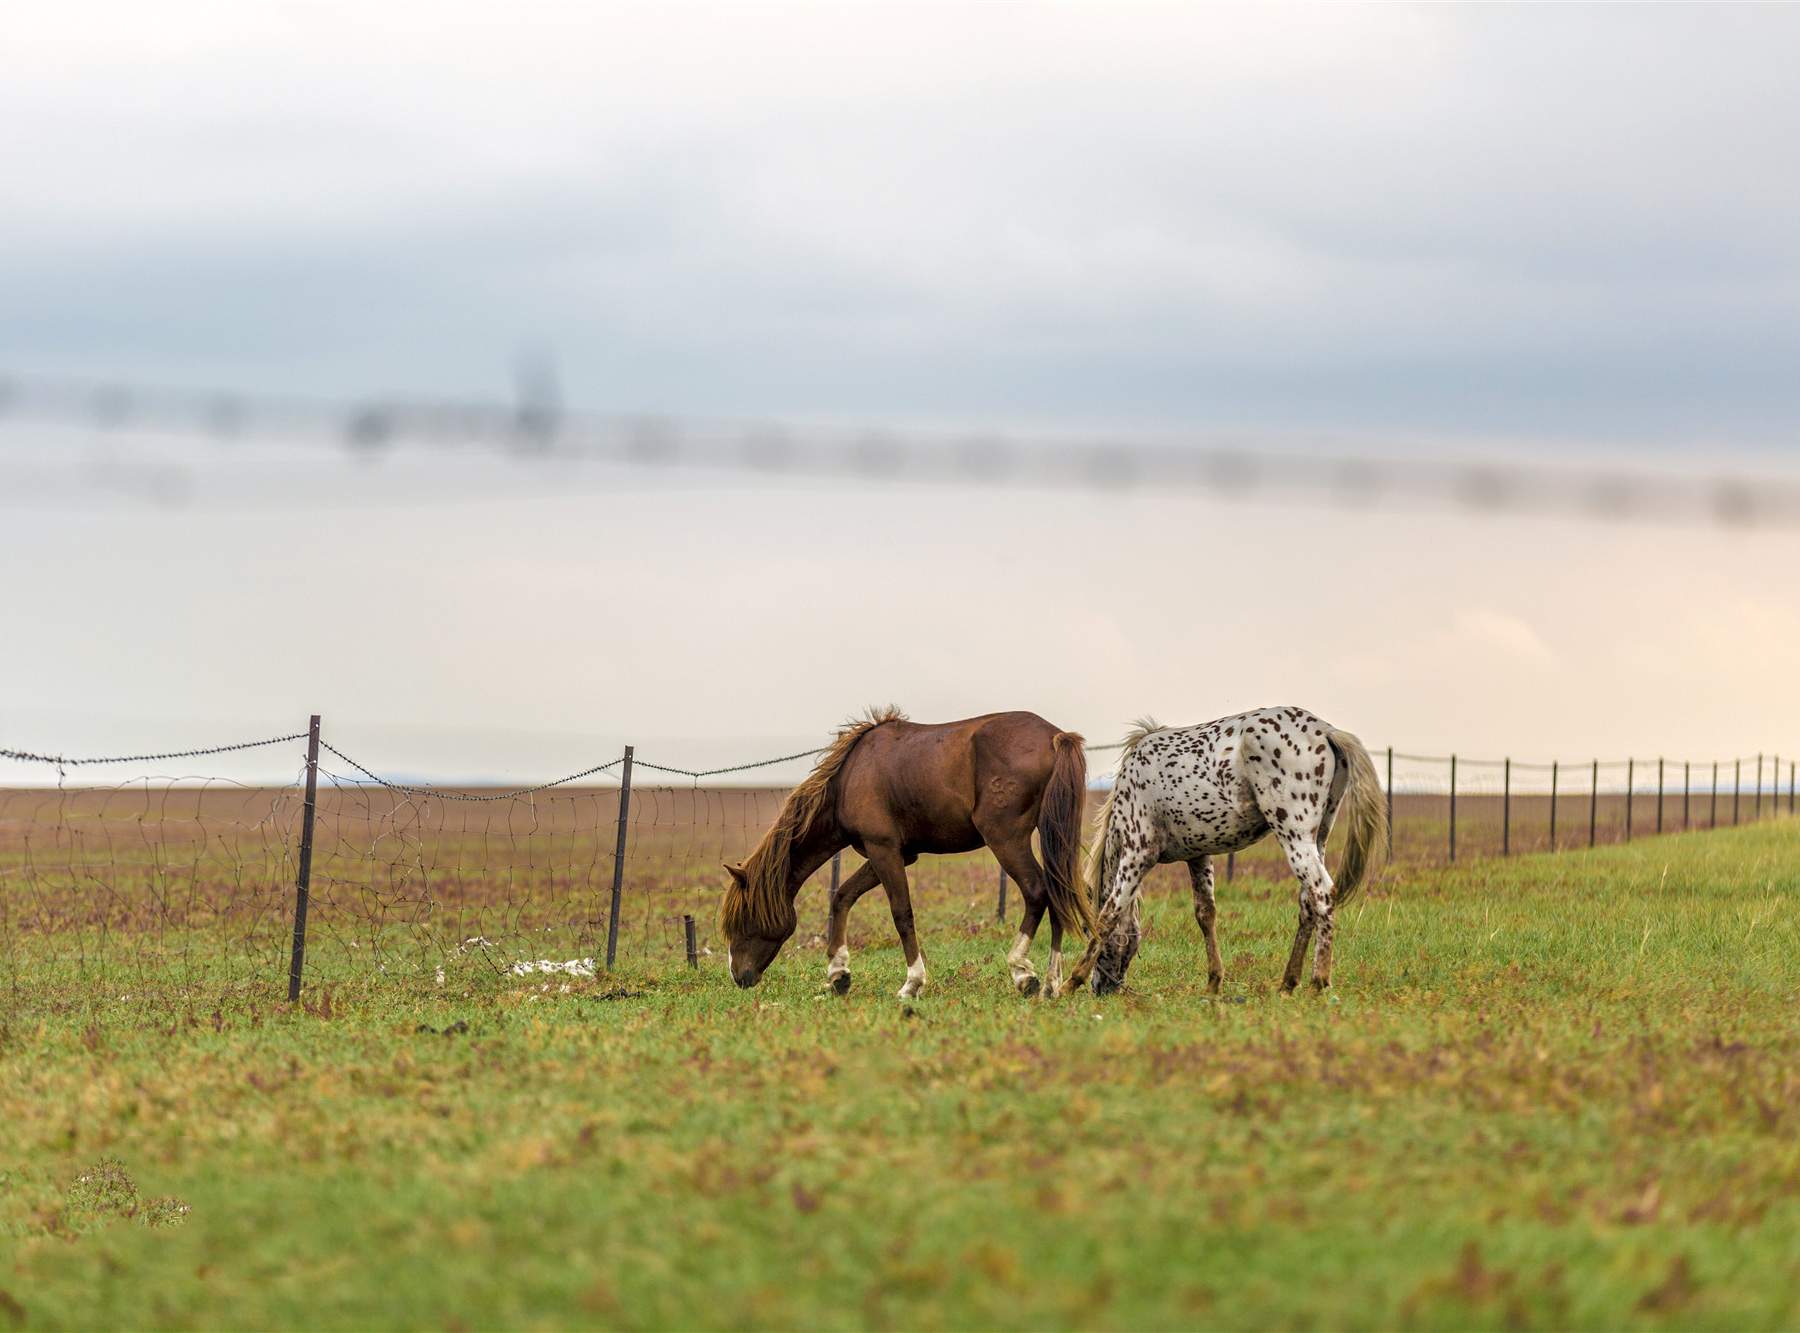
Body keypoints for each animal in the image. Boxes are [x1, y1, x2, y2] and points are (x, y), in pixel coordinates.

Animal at [720, 712, 1094, 993]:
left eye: (743, 918)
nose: (739, 976)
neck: (849, 776)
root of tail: (1056, 737)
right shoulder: (889, 853)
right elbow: (841, 897)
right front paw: (838, 973)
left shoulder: (883, 849)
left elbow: (901, 913)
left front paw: (913, 983)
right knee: (1059, 894)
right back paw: (1053, 982)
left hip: (1006, 838)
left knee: (1037, 892)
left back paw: (1022, 971)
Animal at [1065, 712, 1389, 993]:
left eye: (1085, 929)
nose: (1101, 988)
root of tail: (1326, 731)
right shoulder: (1197, 855)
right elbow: (1205, 914)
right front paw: (1213, 983)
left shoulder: (1137, 853)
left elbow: (1110, 913)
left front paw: (1070, 982)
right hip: (1316, 839)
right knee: (1308, 904)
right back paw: (1288, 984)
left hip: (1294, 837)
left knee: (1323, 894)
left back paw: (1318, 981)